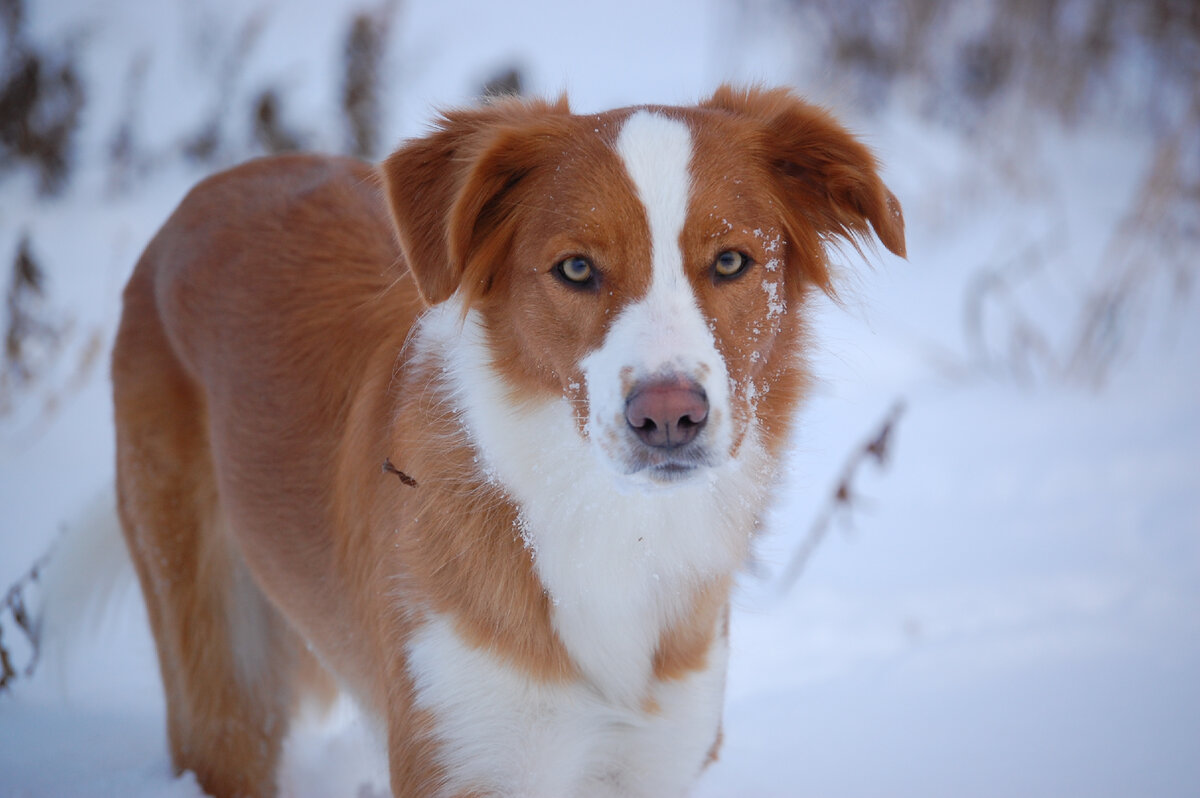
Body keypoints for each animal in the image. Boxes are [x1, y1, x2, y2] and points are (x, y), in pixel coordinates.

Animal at [110, 84, 902, 792]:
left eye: (733, 261)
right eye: (576, 268)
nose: (669, 416)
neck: (614, 525)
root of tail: (212, 188)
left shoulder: (658, 752)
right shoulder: (467, 750)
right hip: (218, 671)